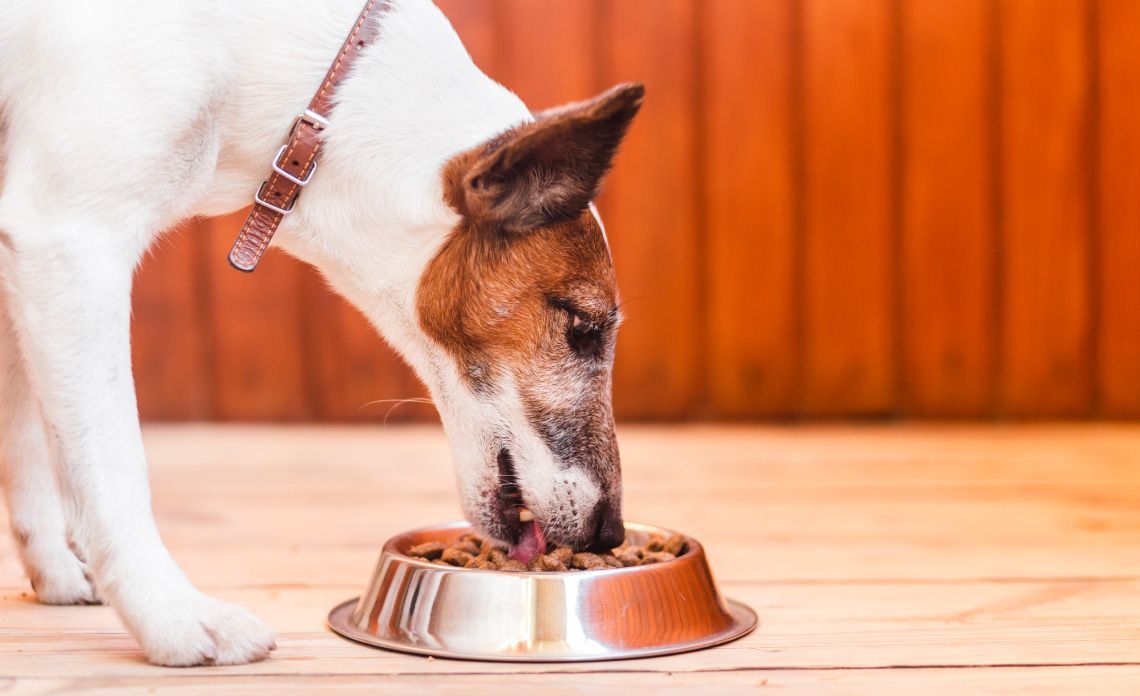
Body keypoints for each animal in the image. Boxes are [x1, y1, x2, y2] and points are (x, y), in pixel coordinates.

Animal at [0, 0, 642, 665]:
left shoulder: (27, 262)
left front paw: (53, 570)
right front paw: (172, 618)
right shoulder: (70, 242)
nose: (610, 534)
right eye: (584, 327)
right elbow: (113, 469)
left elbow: (25, 439)